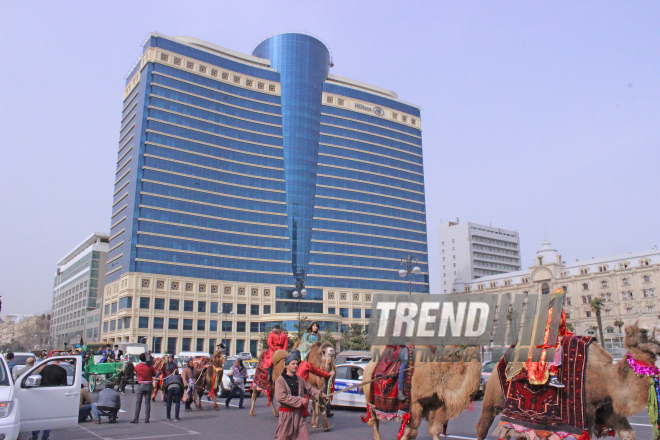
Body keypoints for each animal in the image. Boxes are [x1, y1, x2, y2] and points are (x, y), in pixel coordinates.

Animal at [474, 320, 660, 440]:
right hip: (493, 398)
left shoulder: (607, 409)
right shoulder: (587, 412)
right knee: (483, 426)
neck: (606, 379)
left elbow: (629, 434)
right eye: (643, 331)